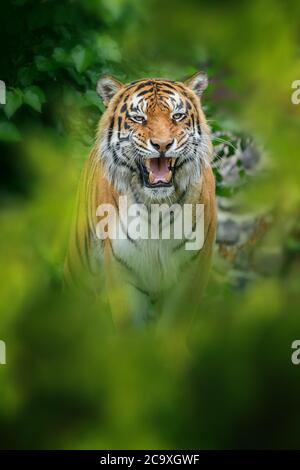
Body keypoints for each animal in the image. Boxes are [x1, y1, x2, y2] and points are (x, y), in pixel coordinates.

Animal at [64, 71, 217, 328]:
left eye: (177, 116)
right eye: (139, 118)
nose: (163, 145)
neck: (157, 206)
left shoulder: (191, 273)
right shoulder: (122, 273)